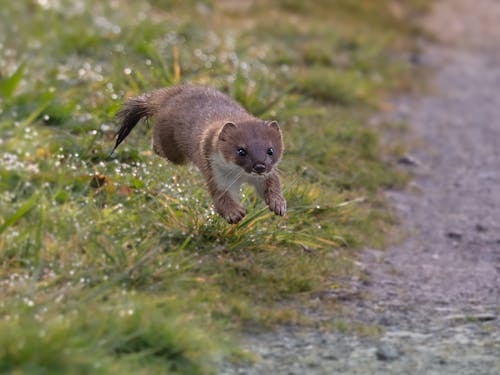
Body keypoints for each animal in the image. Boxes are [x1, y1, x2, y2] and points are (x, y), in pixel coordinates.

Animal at [113, 85, 286, 225]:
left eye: (270, 150)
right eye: (241, 150)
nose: (259, 166)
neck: (241, 175)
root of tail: (174, 92)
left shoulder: (268, 173)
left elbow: (273, 184)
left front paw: (278, 203)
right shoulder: (215, 171)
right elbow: (220, 197)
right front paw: (234, 213)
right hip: (172, 147)